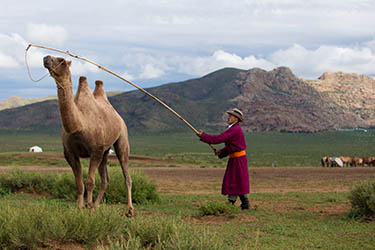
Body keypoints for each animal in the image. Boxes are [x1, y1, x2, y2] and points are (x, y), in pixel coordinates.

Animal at [43, 55, 134, 216]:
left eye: (61, 60)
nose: (46, 58)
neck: (80, 125)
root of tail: (118, 116)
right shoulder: (70, 153)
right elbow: (79, 183)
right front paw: (80, 207)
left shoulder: (95, 150)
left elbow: (90, 182)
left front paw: (87, 205)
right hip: (105, 151)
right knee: (105, 179)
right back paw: (96, 205)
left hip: (122, 138)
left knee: (126, 174)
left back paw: (129, 210)